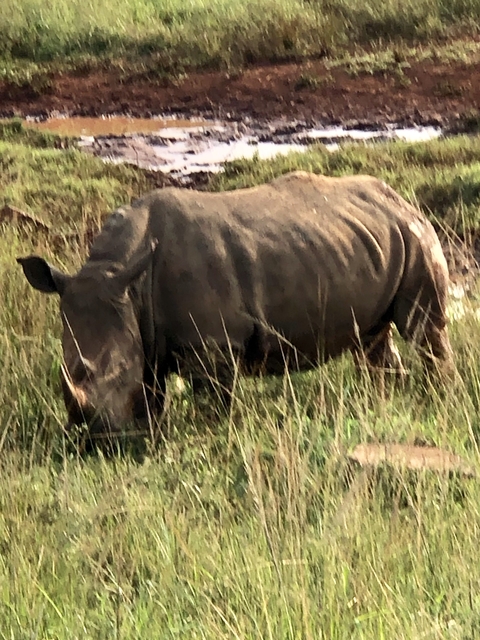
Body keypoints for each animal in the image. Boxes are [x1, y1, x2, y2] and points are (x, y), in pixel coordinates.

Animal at [17, 171, 453, 435]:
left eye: (118, 371)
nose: (95, 440)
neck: (121, 271)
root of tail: (400, 199)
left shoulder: (215, 344)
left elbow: (214, 401)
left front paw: (212, 436)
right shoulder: (146, 330)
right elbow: (153, 388)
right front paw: (149, 433)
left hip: (415, 236)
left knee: (422, 328)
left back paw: (434, 399)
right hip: (370, 239)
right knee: (373, 338)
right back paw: (386, 402)